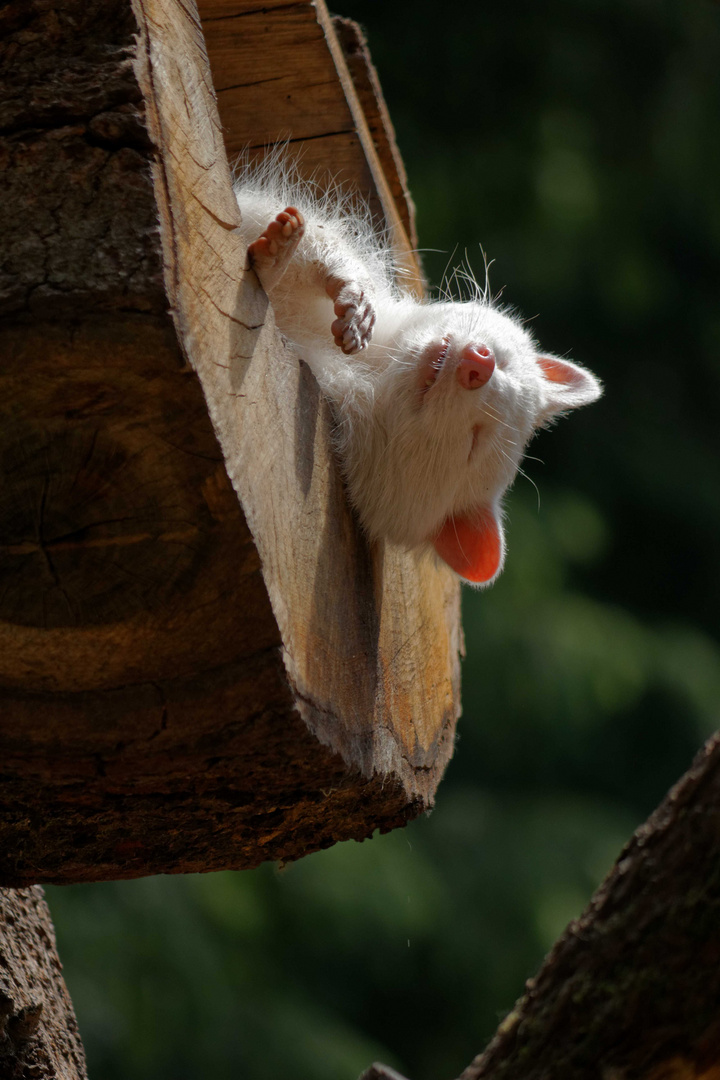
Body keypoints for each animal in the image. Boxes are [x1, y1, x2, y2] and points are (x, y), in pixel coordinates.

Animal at [234, 154, 600, 583]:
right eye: (506, 363)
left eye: (475, 442)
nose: (480, 362)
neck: (371, 368)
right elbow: (305, 237)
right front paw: (338, 282)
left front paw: (270, 266)